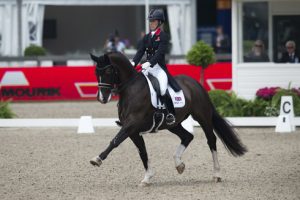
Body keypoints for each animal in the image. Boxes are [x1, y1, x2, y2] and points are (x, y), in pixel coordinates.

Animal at [90, 52, 247, 186]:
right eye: (96, 72)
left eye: (108, 72)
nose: (102, 98)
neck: (131, 89)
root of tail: (195, 83)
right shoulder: (133, 130)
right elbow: (142, 151)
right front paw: (147, 178)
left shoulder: (131, 124)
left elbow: (115, 141)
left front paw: (97, 159)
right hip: (173, 124)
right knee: (187, 136)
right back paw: (179, 165)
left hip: (203, 117)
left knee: (211, 140)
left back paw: (216, 174)